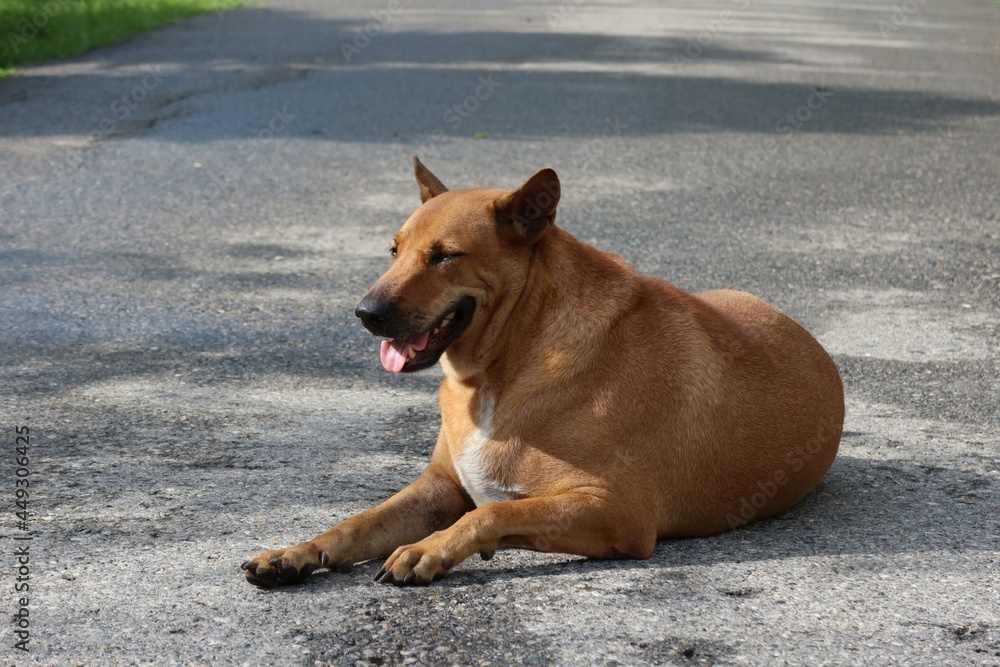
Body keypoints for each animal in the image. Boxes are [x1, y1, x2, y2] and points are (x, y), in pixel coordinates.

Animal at [242, 159, 844, 588]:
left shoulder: (616, 510)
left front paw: (428, 549)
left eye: (445, 256)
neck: (505, 366)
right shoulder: (439, 487)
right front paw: (295, 552)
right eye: (394, 250)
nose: (365, 314)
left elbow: (488, 514)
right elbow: (356, 522)